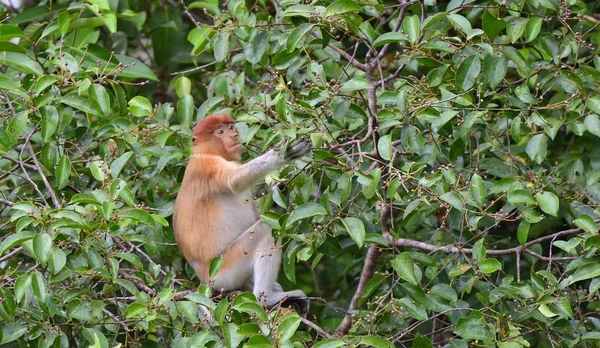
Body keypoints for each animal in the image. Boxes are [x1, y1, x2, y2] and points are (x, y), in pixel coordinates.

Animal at [173, 113, 312, 314]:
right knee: (267, 231)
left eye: (230, 127)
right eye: (220, 131)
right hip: (226, 272)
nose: (234, 135)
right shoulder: (207, 166)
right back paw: (266, 298)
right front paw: (282, 155)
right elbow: (234, 181)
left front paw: (279, 189)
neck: (208, 152)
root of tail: (204, 281)